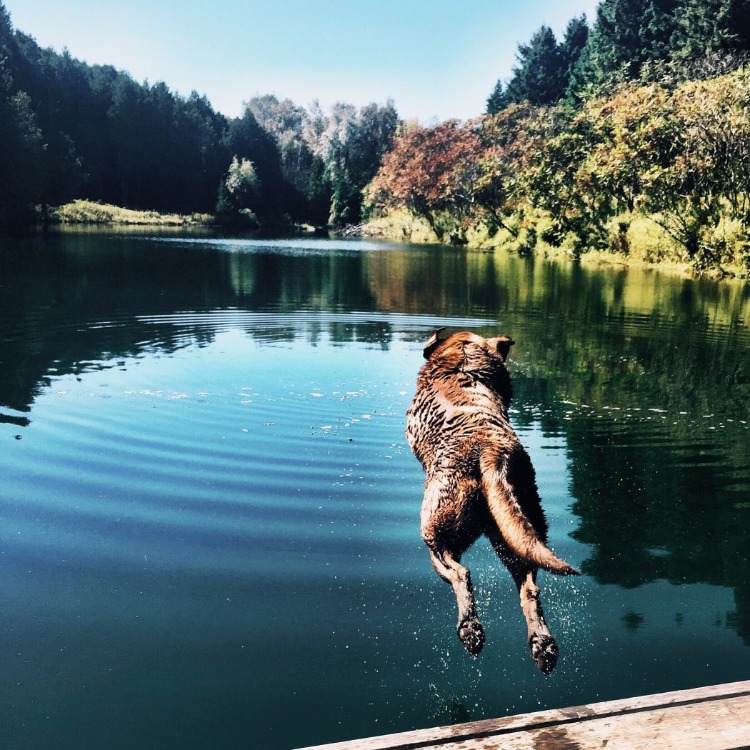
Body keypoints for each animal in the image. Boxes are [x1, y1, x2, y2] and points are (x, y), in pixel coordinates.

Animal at [408, 328, 580, 676]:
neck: (463, 361)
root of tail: (491, 454)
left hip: (435, 527)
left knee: (458, 572)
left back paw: (470, 630)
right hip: (515, 531)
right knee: (529, 586)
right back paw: (542, 646)